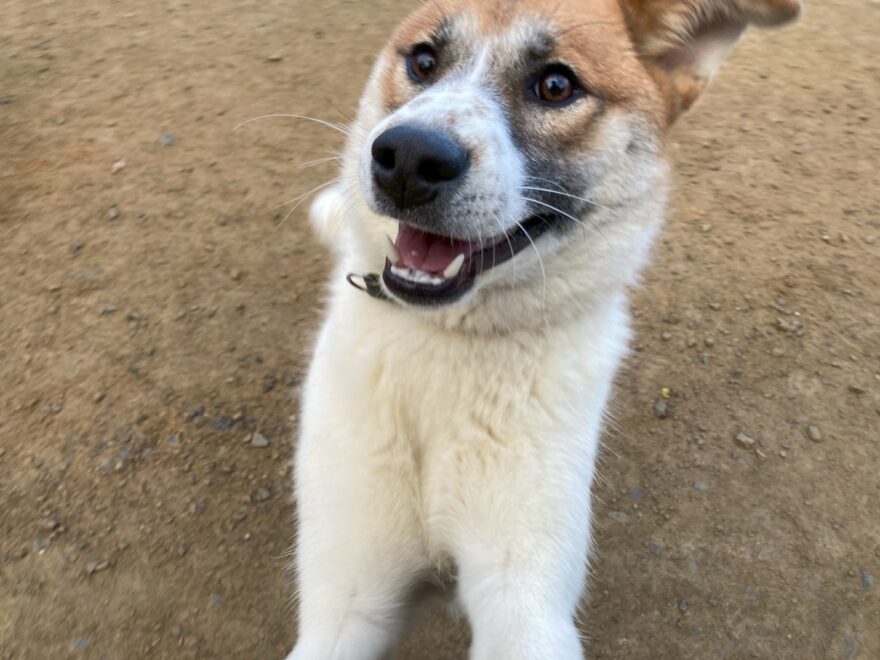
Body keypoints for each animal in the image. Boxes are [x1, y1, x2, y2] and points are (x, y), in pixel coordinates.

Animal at [289, 1, 800, 658]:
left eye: (557, 85)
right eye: (423, 60)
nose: (407, 157)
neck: (446, 340)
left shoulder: (523, 595)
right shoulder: (345, 596)